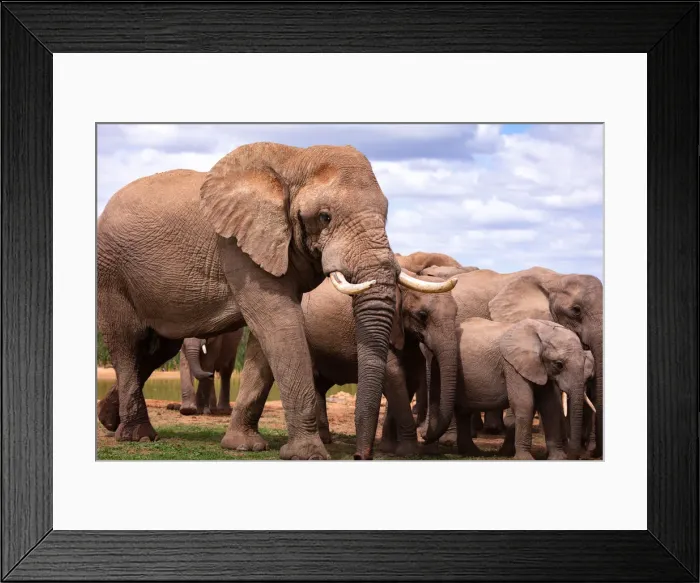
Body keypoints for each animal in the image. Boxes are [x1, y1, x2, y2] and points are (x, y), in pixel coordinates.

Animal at [96, 142, 455, 460]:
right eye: (325, 217)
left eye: (387, 214)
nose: (360, 456)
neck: (294, 160)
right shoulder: (237, 246)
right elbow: (279, 323)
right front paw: (307, 455)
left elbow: (266, 339)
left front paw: (243, 446)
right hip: (112, 273)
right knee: (127, 343)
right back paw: (137, 435)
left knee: (157, 350)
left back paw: (109, 421)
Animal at [452, 318, 594, 460]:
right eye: (559, 364)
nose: (573, 456)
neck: (541, 331)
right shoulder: (512, 365)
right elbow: (524, 404)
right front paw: (525, 458)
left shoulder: (539, 367)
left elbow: (550, 406)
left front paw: (558, 458)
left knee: (463, 413)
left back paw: (471, 453)